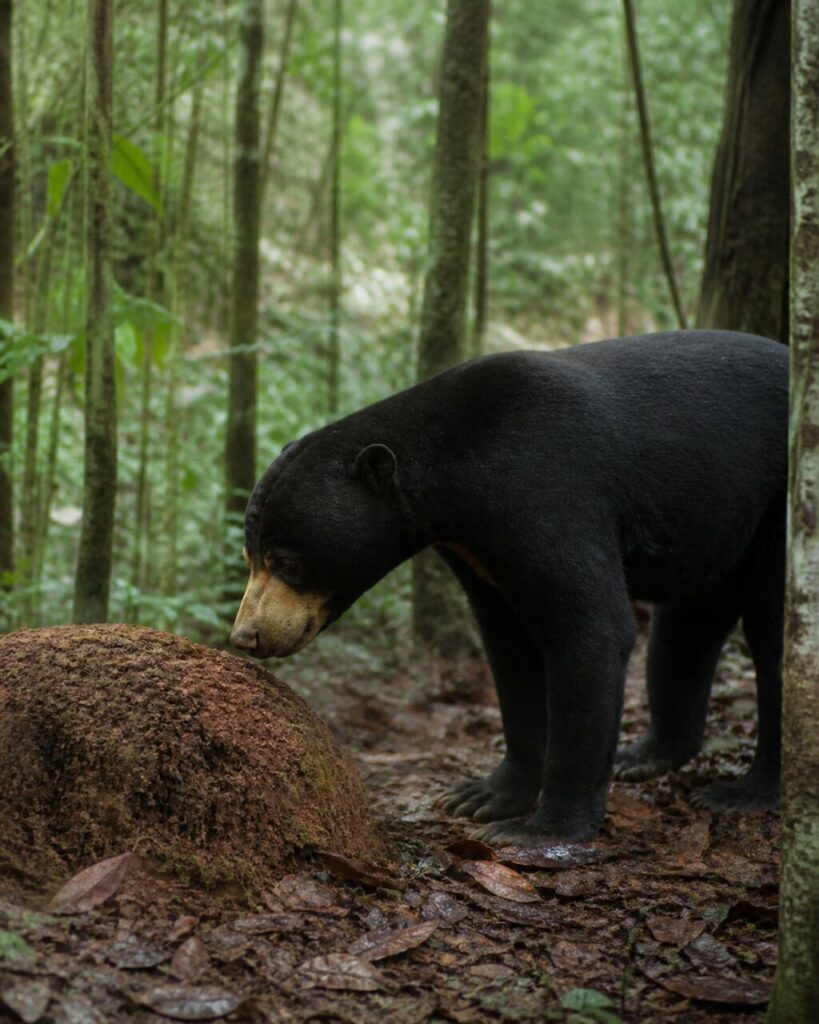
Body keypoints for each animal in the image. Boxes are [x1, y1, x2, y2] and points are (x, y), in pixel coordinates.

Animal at [230, 330, 787, 846]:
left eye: (287, 561)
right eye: (249, 557)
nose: (247, 636)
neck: (456, 472)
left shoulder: (549, 491)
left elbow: (591, 628)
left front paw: (542, 829)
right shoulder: (478, 551)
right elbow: (509, 649)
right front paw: (481, 796)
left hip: (776, 510)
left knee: (773, 638)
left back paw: (749, 790)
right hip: (717, 527)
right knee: (685, 630)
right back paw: (647, 756)